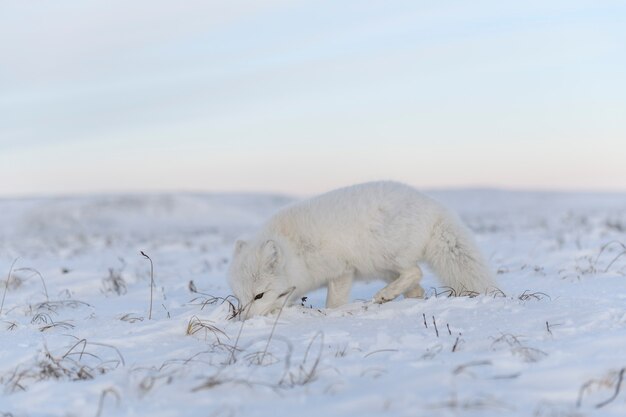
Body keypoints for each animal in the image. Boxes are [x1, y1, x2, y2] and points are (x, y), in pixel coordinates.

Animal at [227, 180, 494, 316]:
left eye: (259, 295)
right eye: (240, 298)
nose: (245, 320)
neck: (295, 249)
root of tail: (435, 207)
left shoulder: (341, 271)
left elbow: (333, 304)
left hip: (386, 255)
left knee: (414, 272)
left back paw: (384, 295)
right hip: (383, 267)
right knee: (416, 287)